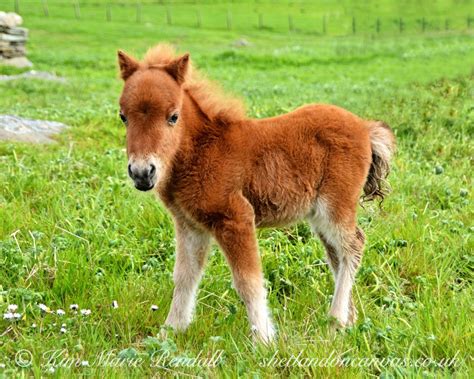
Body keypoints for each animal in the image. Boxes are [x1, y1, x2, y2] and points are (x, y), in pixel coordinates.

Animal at [117, 44, 396, 344]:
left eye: (173, 116)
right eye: (123, 117)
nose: (142, 173)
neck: (203, 150)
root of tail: (365, 128)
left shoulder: (236, 217)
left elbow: (247, 281)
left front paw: (263, 339)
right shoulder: (190, 225)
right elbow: (184, 276)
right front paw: (169, 332)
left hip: (336, 206)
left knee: (353, 246)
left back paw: (335, 321)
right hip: (320, 215)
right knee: (337, 254)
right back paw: (349, 321)